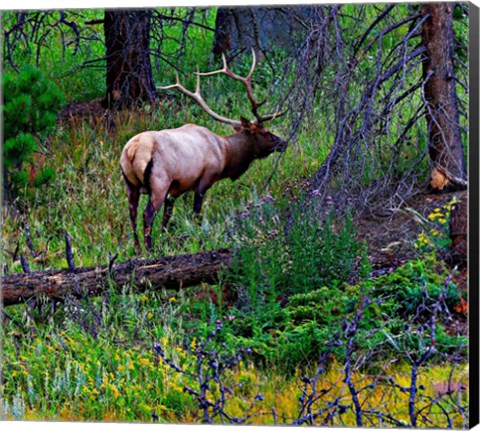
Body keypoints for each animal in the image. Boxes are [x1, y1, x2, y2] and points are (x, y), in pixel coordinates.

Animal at [121, 52, 284, 251]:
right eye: (265, 132)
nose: (283, 142)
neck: (225, 154)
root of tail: (132, 150)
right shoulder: (204, 179)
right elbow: (196, 213)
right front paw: (199, 237)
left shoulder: (176, 188)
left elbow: (168, 216)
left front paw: (166, 238)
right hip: (159, 181)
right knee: (147, 214)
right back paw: (150, 249)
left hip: (130, 184)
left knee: (132, 214)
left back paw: (138, 248)